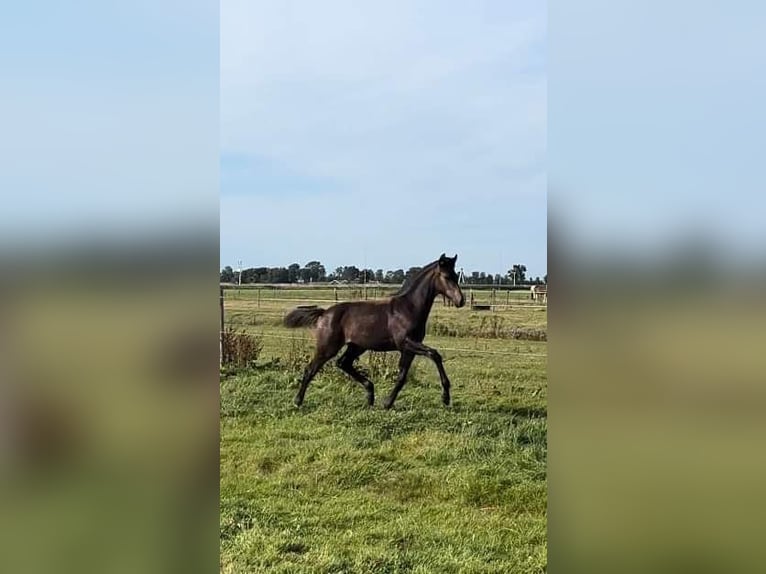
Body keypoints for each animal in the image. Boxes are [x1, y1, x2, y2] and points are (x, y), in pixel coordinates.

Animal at [284, 255, 468, 410]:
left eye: (456, 275)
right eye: (446, 277)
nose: (461, 300)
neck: (408, 308)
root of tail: (324, 313)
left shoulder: (408, 349)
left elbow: (402, 376)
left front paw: (387, 403)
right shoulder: (406, 343)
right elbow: (434, 354)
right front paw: (445, 397)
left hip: (357, 346)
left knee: (343, 363)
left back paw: (370, 395)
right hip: (328, 346)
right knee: (311, 369)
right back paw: (297, 401)